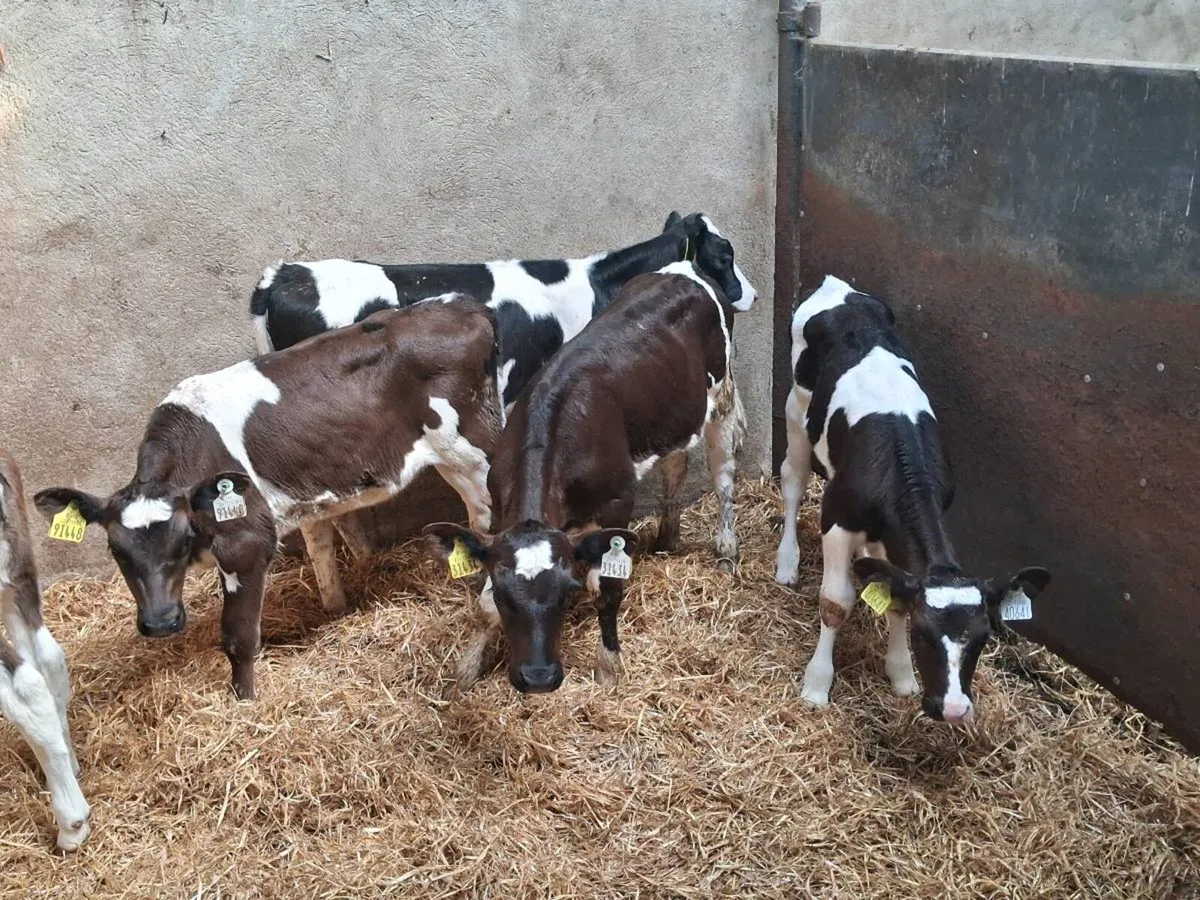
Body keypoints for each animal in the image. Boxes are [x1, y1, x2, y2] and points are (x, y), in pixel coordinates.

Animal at [34, 299, 501, 700]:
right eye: (116, 550)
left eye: (182, 540)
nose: (162, 622)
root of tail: (464, 308)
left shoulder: (245, 541)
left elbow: (238, 637)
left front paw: (244, 701)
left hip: (473, 452)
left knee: (487, 517)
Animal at [425, 260, 750, 693]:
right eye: (507, 598)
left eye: (567, 594)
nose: (539, 677)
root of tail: (684, 267)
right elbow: (483, 604)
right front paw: (469, 666)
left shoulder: (618, 503)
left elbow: (607, 589)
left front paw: (608, 666)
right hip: (674, 412)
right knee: (675, 465)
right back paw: (667, 538)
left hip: (722, 395)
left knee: (723, 475)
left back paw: (726, 551)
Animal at [774, 275, 1051, 723]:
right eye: (924, 635)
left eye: (983, 639)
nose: (953, 708)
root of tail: (838, 286)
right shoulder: (836, 516)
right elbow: (835, 602)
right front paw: (816, 684)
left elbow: (896, 599)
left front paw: (901, 673)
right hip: (798, 410)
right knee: (793, 480)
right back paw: (787, 562)